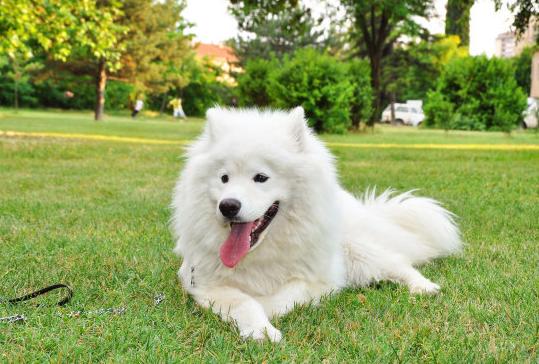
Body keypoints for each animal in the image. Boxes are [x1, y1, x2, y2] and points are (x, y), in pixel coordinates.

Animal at [172, 106, 460, 342]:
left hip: (359, 251)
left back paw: (424, 287)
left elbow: (279, 298)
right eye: (224, 178)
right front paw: (260, 330)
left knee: (400, 264)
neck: (261, 254)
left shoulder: (317, 281)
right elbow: (244, 302)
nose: (228, 206)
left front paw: (267, 316)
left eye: (261, 177)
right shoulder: (204, 283)